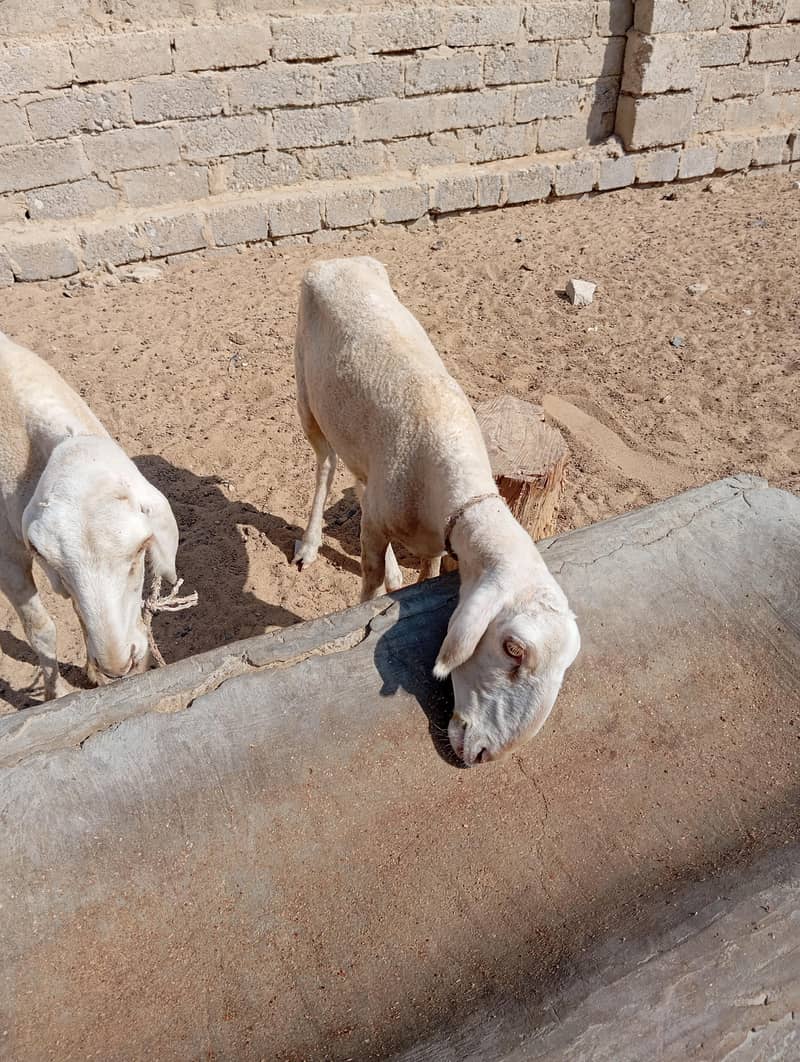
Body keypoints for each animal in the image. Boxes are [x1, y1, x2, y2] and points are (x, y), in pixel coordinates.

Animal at [0, 331, 181, 700]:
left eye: (140, 552)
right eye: (51, 563)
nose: (119, 666)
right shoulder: (5, 556)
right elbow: (40, 629)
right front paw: (55, 696)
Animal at [292, 257, 580, 765]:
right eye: (512, 649)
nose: (486, 755)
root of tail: (335, 260)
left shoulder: (432, 537)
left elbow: (426, 572)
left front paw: (405, 583)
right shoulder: (378, 526)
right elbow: (366, 582)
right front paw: (361, 614)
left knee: (359, 483)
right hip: (307, 394)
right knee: (324, 466)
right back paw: (309, 543)